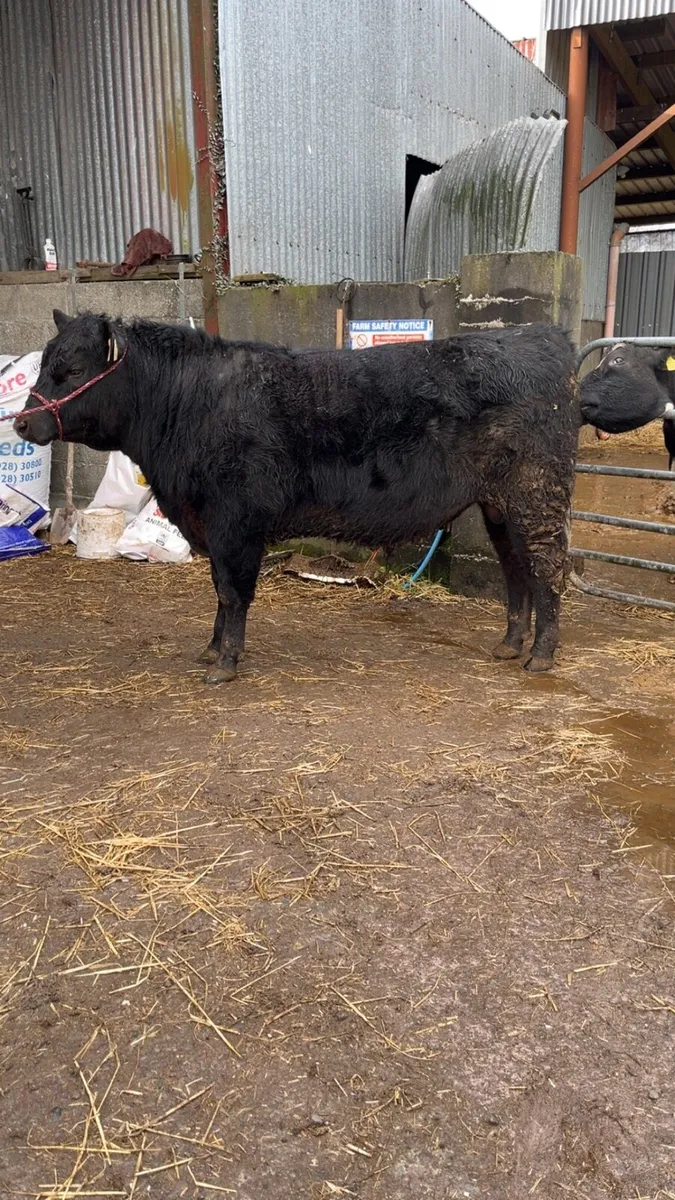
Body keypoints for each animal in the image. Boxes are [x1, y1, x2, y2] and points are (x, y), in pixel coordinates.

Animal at [15, 311, 579, 682]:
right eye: (44, 363)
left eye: (72, 370)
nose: (22, 422)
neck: (190, 401)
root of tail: (543, 335)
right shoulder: (212, 524)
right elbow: (218, 587)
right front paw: (212, 649)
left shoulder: (235, 518)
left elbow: (232, 590)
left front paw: (225, 663)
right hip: (500, 505)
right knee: (516, 571)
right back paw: (509, 645)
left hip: (537, 495)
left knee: (547, 568)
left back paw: (541, 655)